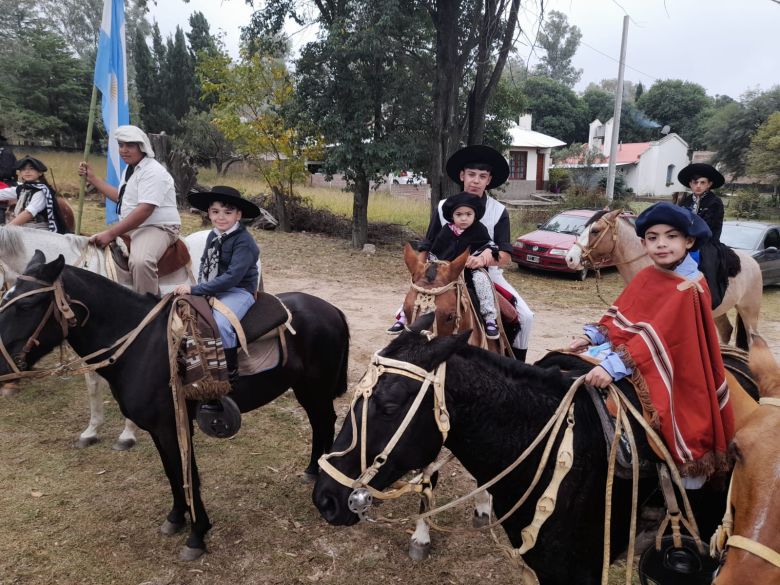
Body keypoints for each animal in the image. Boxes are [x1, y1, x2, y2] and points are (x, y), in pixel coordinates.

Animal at [0, 224, 262, 448]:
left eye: (26, 305)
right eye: (6, 298)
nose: (5, 370)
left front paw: (127, 434)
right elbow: (92, 384)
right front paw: (91, 431)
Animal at [0, 252, 348, 560]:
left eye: (27, 305)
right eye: (7, 299)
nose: (1, 364)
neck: (141, 345)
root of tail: (332, 310)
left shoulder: (174, 427)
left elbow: (187, 474)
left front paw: (197, 535)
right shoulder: (159, 429)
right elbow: (172, 472)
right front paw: (176, 518)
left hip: (315, 391)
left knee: (324, 422)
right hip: (305, 390)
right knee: (320, 424)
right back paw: (312, 470)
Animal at [564, 209, 764, 350]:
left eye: (595, 231)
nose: (570, 259)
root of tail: (753, 262)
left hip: (749, 311)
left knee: (753, 340)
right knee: (726, 331)